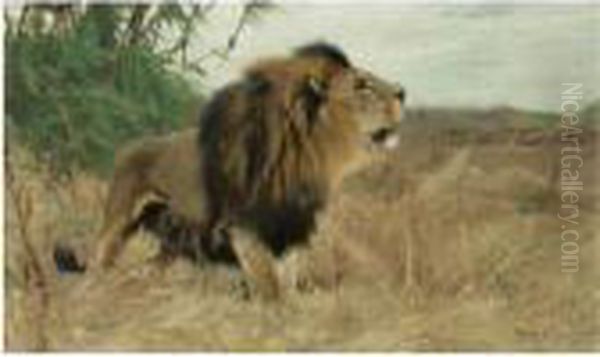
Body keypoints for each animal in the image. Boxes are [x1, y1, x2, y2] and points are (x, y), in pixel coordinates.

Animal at [77, 41, 406, 298]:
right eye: (361, 85)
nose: (402, 92)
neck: (313, 157)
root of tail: (127, 147)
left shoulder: (292, 228)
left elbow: (287, 284)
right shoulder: (244, 226)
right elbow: (269, 286)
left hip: (174, 240)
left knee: (147, 269)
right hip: (117, 223)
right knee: (97, 262)